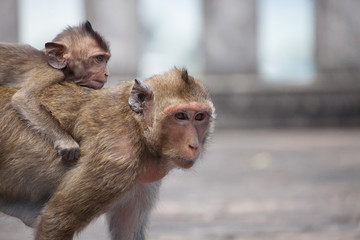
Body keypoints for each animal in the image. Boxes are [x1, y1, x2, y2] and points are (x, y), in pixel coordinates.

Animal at [0, 21, 109, 163]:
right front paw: (67, 142)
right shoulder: (51, 73)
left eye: (106, 59)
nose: (107, 73)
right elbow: (23, 98)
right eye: (99, 58)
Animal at [0, 68, 214, 240]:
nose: (194, 145)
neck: (138, 130)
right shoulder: (116, 162)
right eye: (180, 116)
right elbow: (55, 222)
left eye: (199, 117)